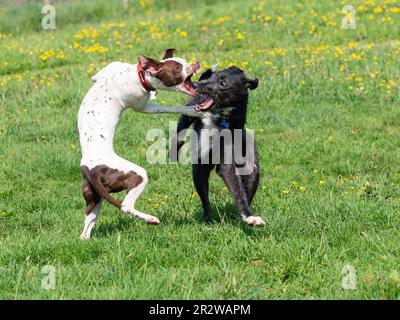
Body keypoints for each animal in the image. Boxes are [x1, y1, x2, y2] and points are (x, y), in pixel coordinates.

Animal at [77, 48, 202, 239]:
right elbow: (170, 108)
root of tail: (88, 167)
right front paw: (191, 110)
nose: (195, 63)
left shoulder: (104, 71)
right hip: (138, 175)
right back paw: (150, 219)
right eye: (177, 67)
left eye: (184, 60)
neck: (139, 75)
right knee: (126, 206)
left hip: (94, 197)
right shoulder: (143, 106)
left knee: (86, 228)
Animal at [170, 67, 266, 228]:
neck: (219, 114)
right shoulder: (192, 107)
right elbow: (181, 128)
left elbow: (238, 192)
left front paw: (250, 217)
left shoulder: (227, 159)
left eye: (223, 83)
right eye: (212, 77)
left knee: (249, 184)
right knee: (205, 200)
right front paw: (174, 150)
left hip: (251, 167)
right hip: (199, 172)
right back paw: (208, 219)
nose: (195, 85)